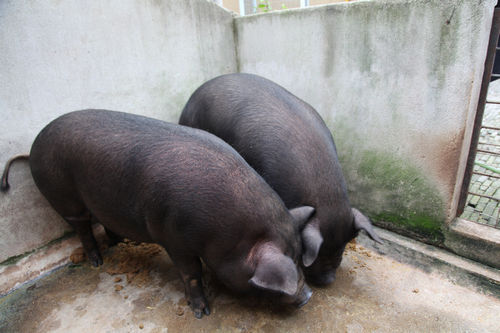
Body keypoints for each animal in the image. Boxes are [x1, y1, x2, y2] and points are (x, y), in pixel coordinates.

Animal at [2, 109, 316, 316]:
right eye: (292, 263)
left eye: (300, 256)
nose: (308, 295)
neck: (232, 235)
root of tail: (33, 147)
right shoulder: (174, 239)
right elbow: (191, 273)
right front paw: (202, 312)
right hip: (64, 196)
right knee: (82, 227)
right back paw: (96, 262)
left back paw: (116, 243)